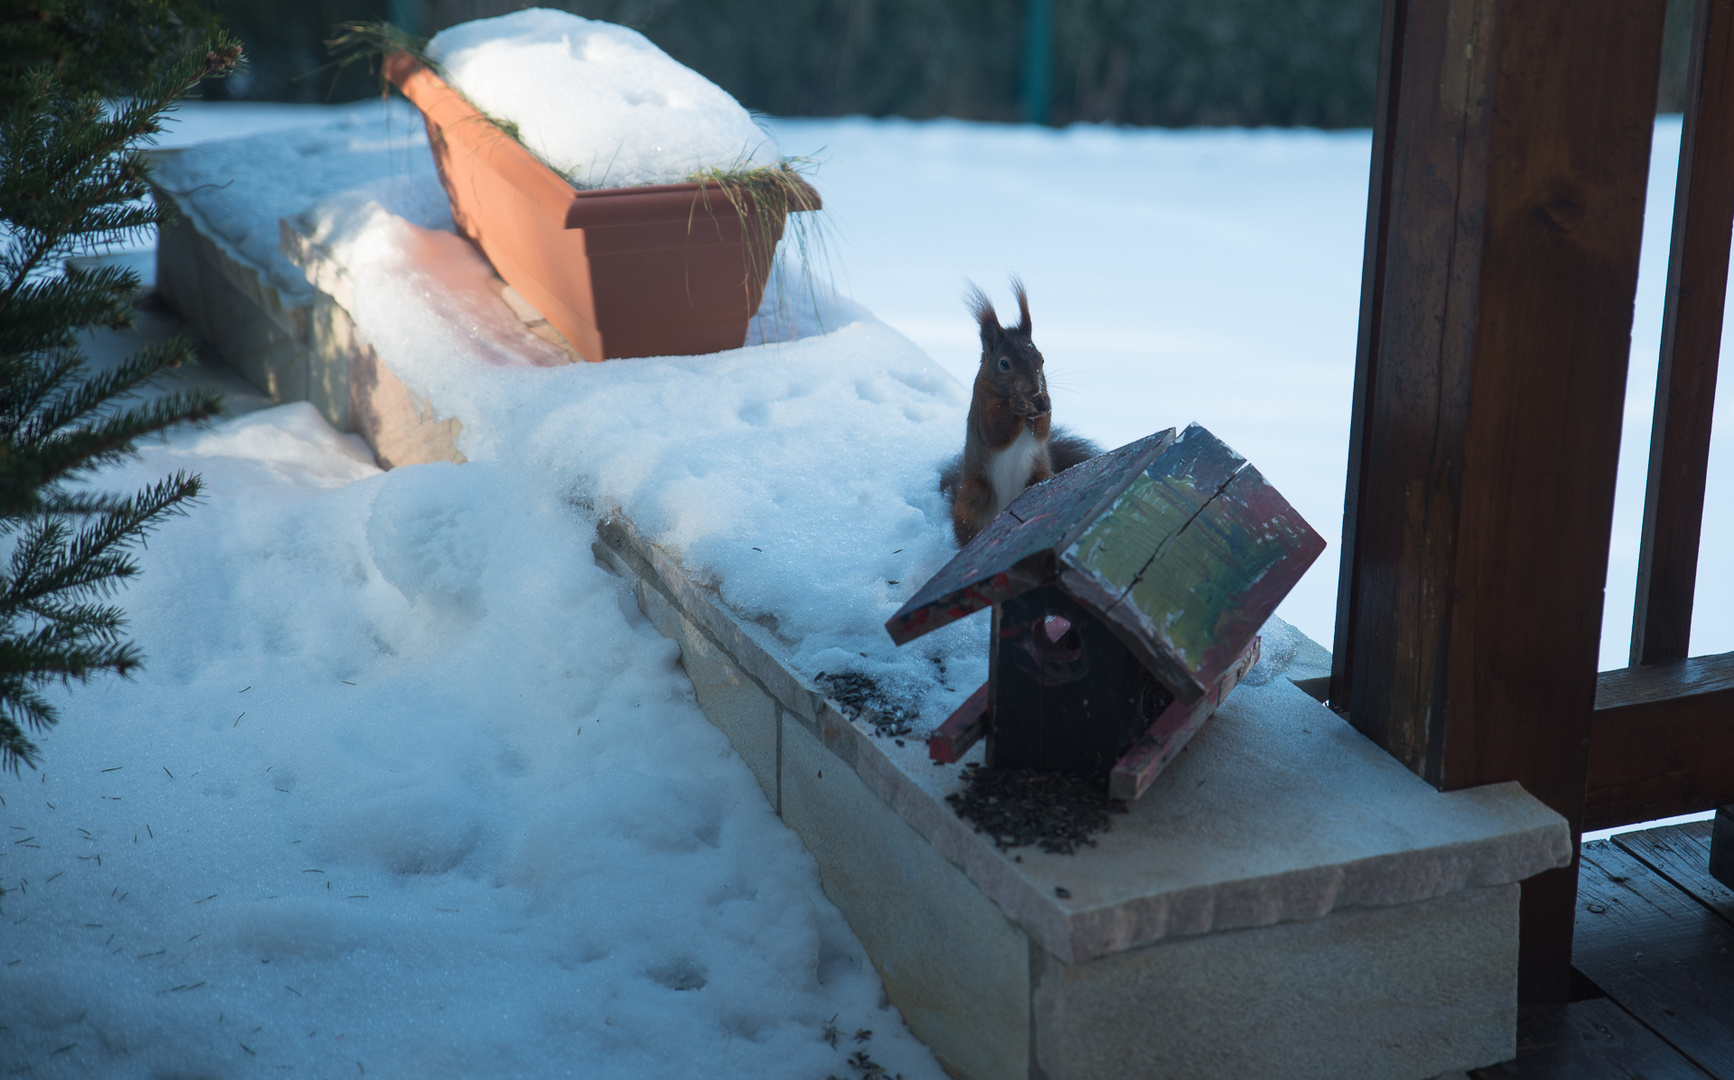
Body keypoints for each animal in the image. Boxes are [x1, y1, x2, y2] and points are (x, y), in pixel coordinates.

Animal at [943, 280, 1102, 544]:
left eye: (1042, 359)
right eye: (1004, 364)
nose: (1033, 389)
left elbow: (1042, 432)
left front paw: (1044, 403)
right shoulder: (981, 404)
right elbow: (995, 432)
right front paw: (1016, 407)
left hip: (1039, 475)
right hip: (975, 498)